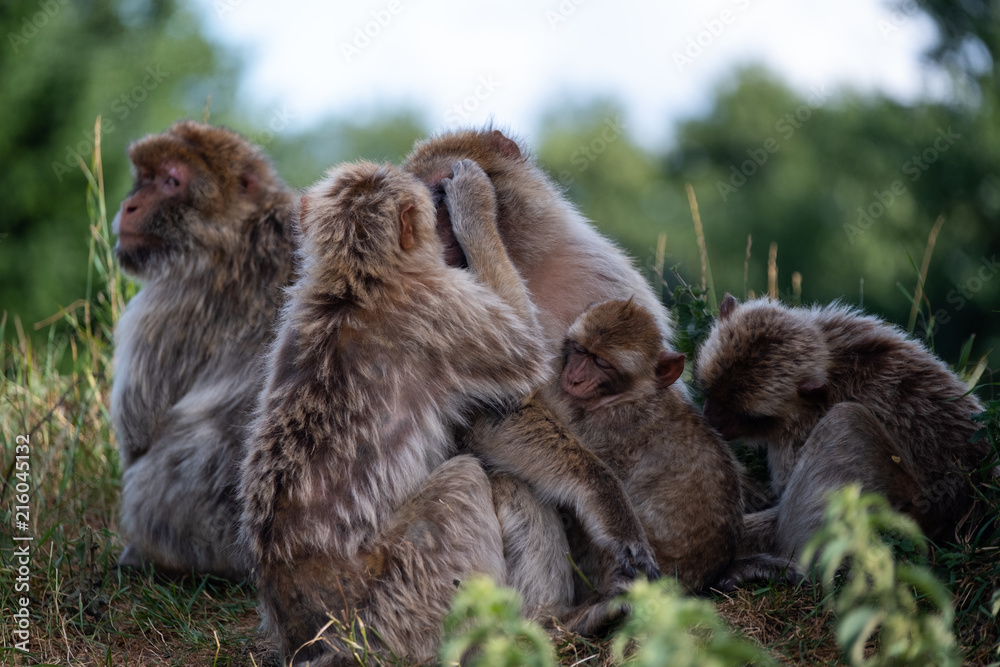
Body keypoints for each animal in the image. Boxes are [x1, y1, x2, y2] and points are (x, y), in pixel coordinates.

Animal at [110, 120, 296, 579]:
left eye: (171, 181)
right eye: (145, 177)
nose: (129, 206)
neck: (236, 227)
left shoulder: (168, 302)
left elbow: (138, 427)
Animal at [238, 159, 660, 665]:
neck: (354, 279)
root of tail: (316, 641)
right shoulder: (446, 306)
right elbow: (528, 359)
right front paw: (475, 204)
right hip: (404, 611)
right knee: (468, 481)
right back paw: (541, 628)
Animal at [696, 294, 995, 565]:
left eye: (748, 416)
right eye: (709, 391)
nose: (712, 419)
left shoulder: (797, 435)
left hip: (906, 510)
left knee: (845, 422)